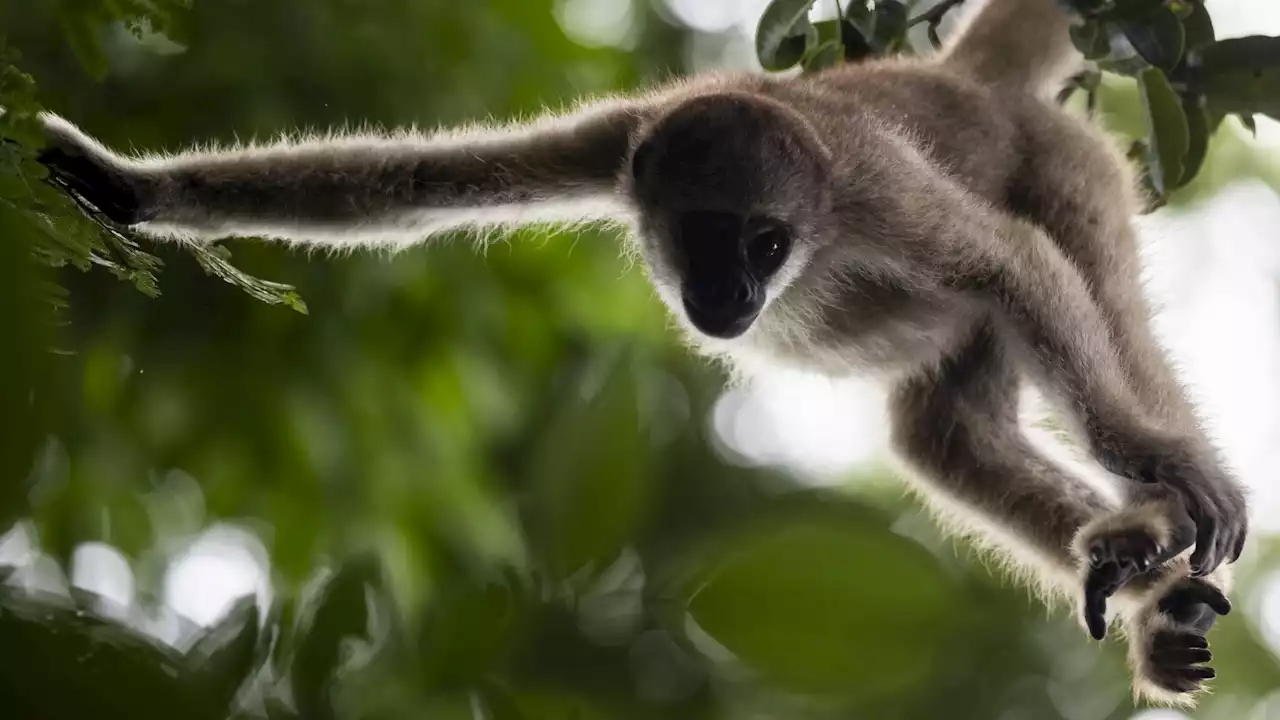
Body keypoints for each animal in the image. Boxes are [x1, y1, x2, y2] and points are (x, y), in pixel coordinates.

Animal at [20, 0, 1244, 702]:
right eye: (699, 238)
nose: (728, 294)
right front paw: (128, 187)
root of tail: (966, 83)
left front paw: (1170, 466)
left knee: (1082, 299)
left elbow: (1014, 266)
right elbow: (407, 188)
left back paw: (1149, 520)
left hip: (1068, 164)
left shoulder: (867, 190)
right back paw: (1145, 590)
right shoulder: (623, 144)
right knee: (945, 434)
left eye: (764, 242)